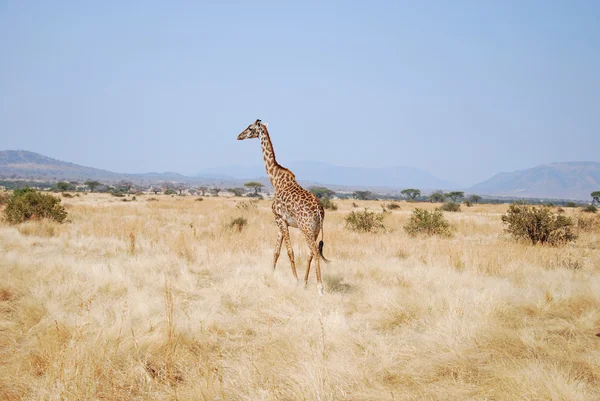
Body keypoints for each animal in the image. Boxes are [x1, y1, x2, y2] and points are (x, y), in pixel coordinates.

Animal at [238, 118, 330, 294]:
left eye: (250, 128)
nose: (239, 136)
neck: (276, 180)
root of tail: (319, 211)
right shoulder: (282, 221)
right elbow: (276, 251)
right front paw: (271, 274)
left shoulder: (279, 218)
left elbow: (289, 251)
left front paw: (295, 280)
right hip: (315, 230)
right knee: (311, 253)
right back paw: (306, 282)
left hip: (306, 228)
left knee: (314, 252)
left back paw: (319, 288)